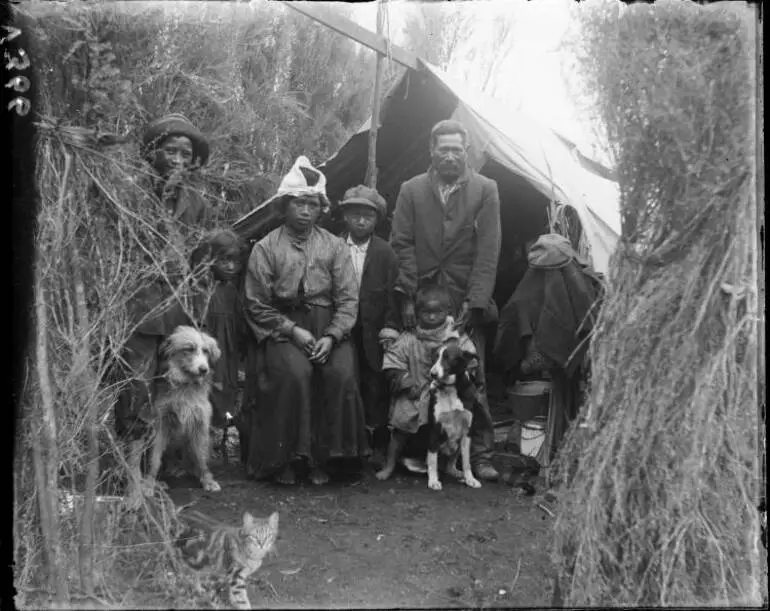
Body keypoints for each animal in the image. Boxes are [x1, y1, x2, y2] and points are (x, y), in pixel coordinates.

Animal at [127, 326, 220, 502]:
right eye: (189, 349)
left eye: (206, 351)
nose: (204, 369)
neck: (184, 385)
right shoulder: (160, 424)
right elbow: (154, 459)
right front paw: (149, 484)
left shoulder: (199, 424)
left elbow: (201, 456)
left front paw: (207, 480)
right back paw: (159, 481)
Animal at [426, 340, 480, 492]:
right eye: (435, 357)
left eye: (448, 358)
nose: (432, 374)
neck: (450, 389)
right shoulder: (434, 429)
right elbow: (432, 460)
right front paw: (433, 480)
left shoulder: (467, 432)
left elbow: (467, 462)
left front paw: (470, 479)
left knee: (450, 463)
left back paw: (456, 472)